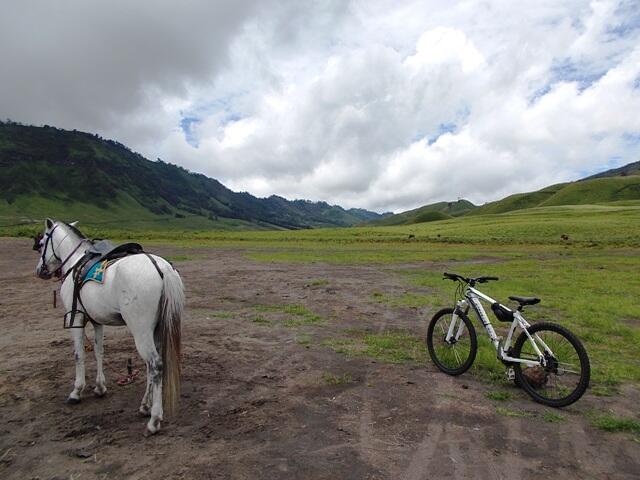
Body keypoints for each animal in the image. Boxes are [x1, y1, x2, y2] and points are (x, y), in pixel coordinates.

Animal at [35, 218, 184, 436]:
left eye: (42, 241)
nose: (40, 270)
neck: (75, 263)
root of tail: (160, 267)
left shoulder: (75, 318)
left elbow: (78, 354)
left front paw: (76, 391)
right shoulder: (97, 321)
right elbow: (99, 352)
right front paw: (100, 388)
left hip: (141, 331)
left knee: (155, 364)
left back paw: (154, 420)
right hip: (155, 329)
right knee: (152, 365)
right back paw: (145, 406)